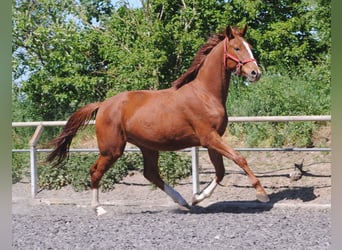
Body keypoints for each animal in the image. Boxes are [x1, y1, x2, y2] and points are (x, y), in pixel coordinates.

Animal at [46, 25, 270, 217]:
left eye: (249, 47)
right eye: (237, 48)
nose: (255, 73)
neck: (205, 94)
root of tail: (103, 105)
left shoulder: (212, 140)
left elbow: (221, 171)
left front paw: (197, 198)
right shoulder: (209, 137)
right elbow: (239, 158)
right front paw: (261, 194)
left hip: (148, 147)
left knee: (151, 174)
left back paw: (182, 201)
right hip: (112, 150)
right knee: (95, 171)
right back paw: (99, 209)